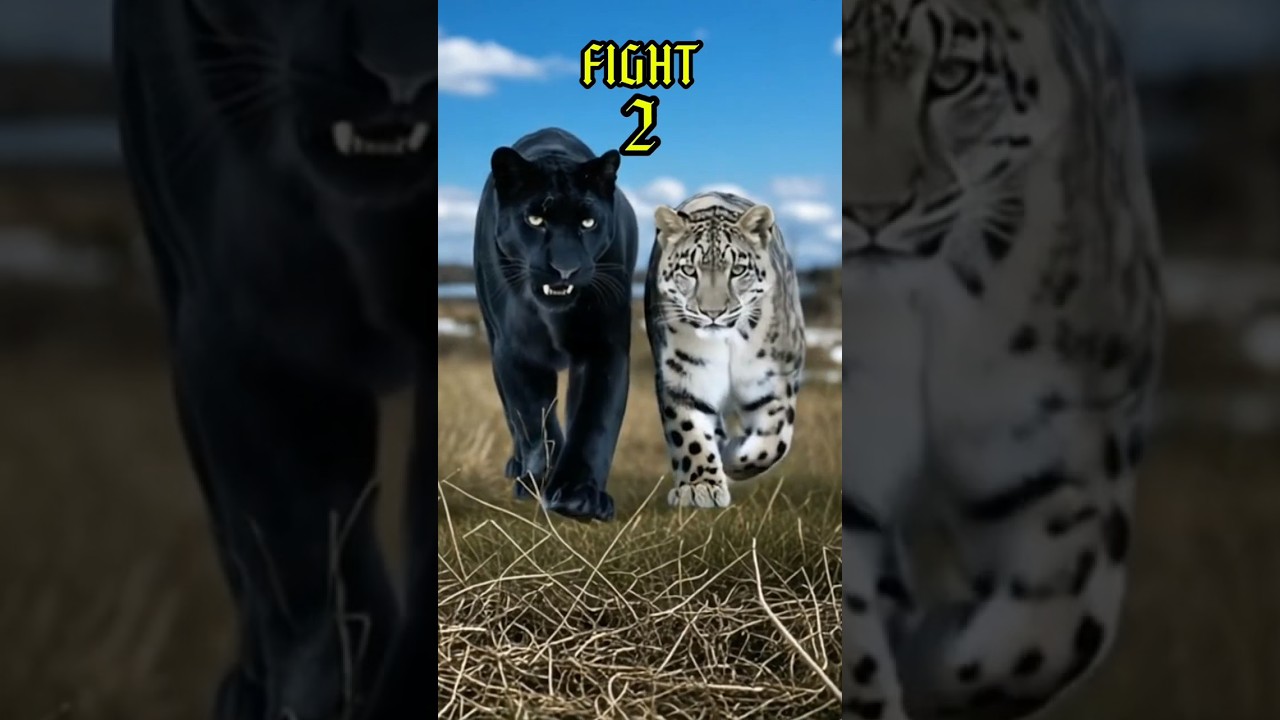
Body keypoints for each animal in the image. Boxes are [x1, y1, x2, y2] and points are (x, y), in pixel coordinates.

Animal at [643, 191, 807, 509]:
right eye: (688, 269)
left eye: (738, 269)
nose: (712, 312)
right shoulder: (683, 375)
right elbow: (690, 433)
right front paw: (701, 488)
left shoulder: (776, 379)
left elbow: (774, 440)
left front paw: (732, 457)